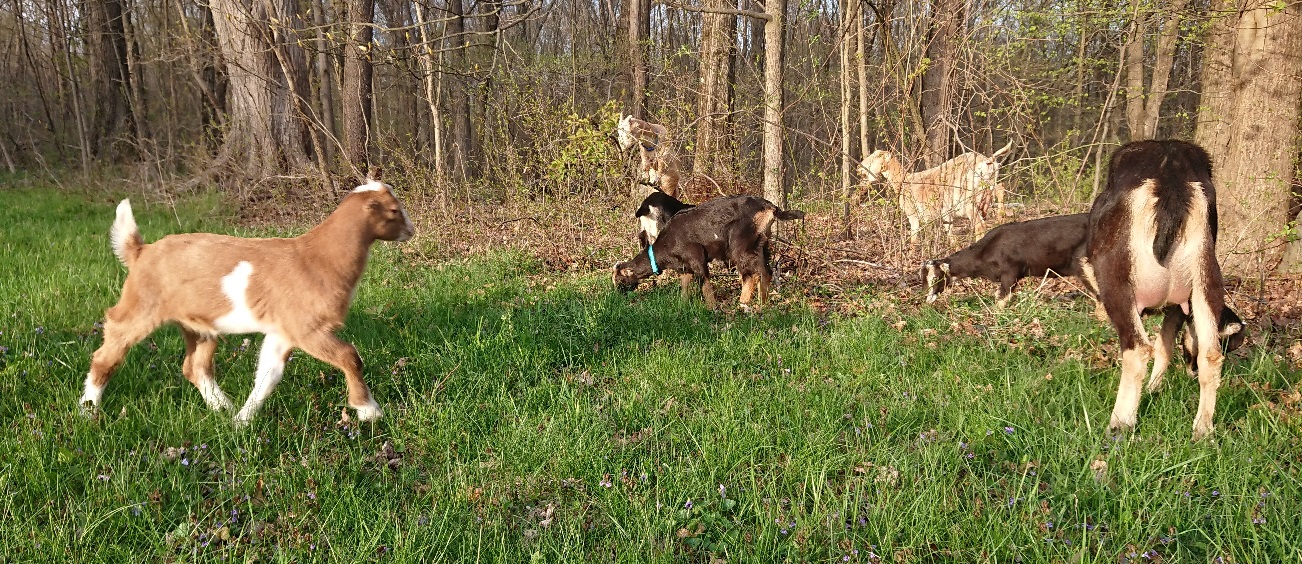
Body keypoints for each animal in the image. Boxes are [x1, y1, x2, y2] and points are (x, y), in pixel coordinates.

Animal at [611, 192, 802, 307]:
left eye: (619, 281)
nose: (617, 297)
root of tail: (771, 208)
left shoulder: (697, 259)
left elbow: (705, 286)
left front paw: (712, 308)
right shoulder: (685, 269)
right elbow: (685, 288)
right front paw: (682, 306)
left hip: (741, 246)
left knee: (752, 274)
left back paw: (745, 305)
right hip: (762, 245)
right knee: (765, 272)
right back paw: (760, 304)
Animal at [1088, 139, 1229, 440]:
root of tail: (1171, 178)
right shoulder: (1177, 305)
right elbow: (1166, 344)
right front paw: (1155, 390)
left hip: (1117, 282)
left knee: (1138, 348)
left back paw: (1119, 424)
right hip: (1204, 279)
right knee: (1211, 354)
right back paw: (1202, 430)